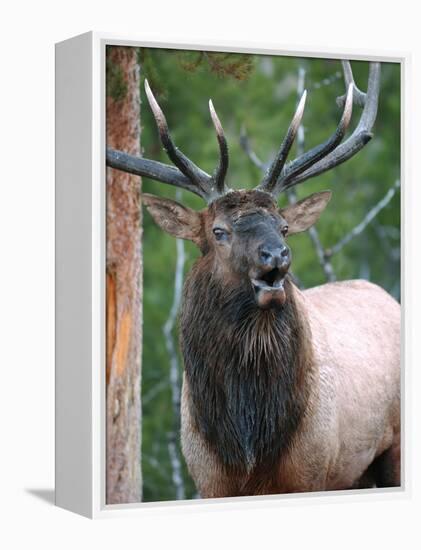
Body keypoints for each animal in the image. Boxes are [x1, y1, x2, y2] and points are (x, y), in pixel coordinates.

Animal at [106, 62, 400, 498]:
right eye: (219, 231)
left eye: (283, 226)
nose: (277, 255)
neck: (248, 445)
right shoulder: (208, 480)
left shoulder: (311, 474)